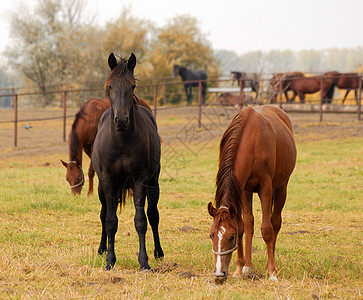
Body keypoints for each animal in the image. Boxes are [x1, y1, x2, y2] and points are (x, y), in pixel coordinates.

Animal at [92, 52, 164, 270]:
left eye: (132, 85)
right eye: (110, 86)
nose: (122, 120)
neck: (122, 142)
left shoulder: (140, 180)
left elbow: (141, 220)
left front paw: (144, 262)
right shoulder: (108, 181)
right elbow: (110, 220)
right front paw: (109, 261)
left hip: (153, 183)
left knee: (153, 214)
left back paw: (158, 252)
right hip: (102, 188)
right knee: (103, 212)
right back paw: (101, 248)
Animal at [209, 106, 298, 284]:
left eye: (231, 237)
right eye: (211, 235)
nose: (219, 274)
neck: (252, 142)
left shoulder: (266, 188)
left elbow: (266, 229)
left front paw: (272, 272)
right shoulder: (243, 189)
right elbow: (244, 225)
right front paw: (241, 269)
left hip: (281, 188)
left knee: (275, 223)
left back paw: (270, 266)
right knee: (250, 223)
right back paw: (248, 266)